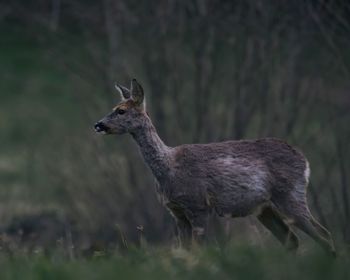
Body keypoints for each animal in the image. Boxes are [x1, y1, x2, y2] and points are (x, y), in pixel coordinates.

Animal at [93, 79, 336, 256]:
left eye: (121, 110)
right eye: (114, 108)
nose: (98, 124)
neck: (167, 167)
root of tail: (304, 160)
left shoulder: (199, 206)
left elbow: (198, 250)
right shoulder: (177, 212)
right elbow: (185, 251)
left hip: (290, 194)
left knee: (323, 234)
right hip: (265, 208)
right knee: (292, 240)